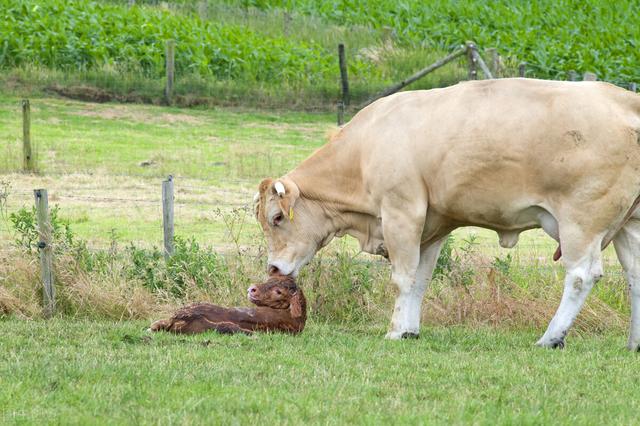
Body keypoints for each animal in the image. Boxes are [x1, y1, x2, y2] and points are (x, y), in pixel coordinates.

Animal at [252, 77, 640, 350]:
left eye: (277, 218)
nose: (274, 269)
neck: (364, 150)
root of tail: (624, 99)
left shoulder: (402, 212)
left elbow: (402, 277)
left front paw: (395, 330)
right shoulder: (433, 226)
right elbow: (420, 280)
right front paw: (410, 329)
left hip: (581, 221)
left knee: (581, 276)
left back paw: (551, 337)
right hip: (630, 225)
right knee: (635, 276)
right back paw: (633, 344)